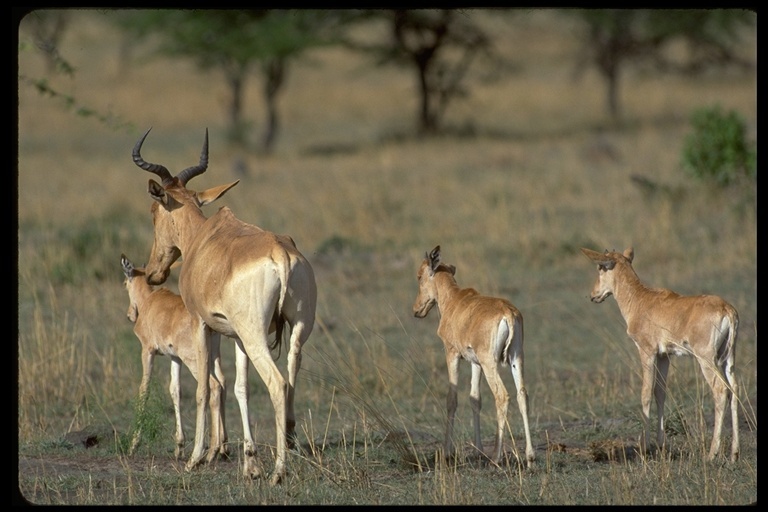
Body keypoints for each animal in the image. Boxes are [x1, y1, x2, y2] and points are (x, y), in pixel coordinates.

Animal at [120, 254, 226, 462]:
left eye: (125, 282)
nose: (130, 315)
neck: (150, 302)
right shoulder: (174, 358)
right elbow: (175, 390)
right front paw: (179, 446)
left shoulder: (147, 351)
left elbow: (144, 390)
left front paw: (133, 445)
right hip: (212, 357)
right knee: (223, 382)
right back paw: (222, 448)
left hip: (194, 360)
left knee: (214, 386)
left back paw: (212, 451)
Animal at [414, 246, 536, 466]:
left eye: (419, 276)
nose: (416, 310)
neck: (455, 301)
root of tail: (508, 312)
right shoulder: (475, 363)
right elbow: (475, 398)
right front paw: (478, 450)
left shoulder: (452, 354)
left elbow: (452, 399)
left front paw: (447, 452)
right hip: (516, 357)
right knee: (522, 395)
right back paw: (530, 458)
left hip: (490, 363)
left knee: (502, 396)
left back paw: (496, 457)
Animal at [584, 246, 736, 462]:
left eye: (600, 268)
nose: (593, 295)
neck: (642, 300)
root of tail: (726, 309)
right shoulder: (665, 356)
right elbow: (660, 392)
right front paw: (660, 445)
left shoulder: (647, 351)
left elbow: (646, 393)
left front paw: (645, 448)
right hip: (727, 358)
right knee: (735, 389)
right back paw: (734, 454)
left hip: (706, 359)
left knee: (721, 390)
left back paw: (711, 454)